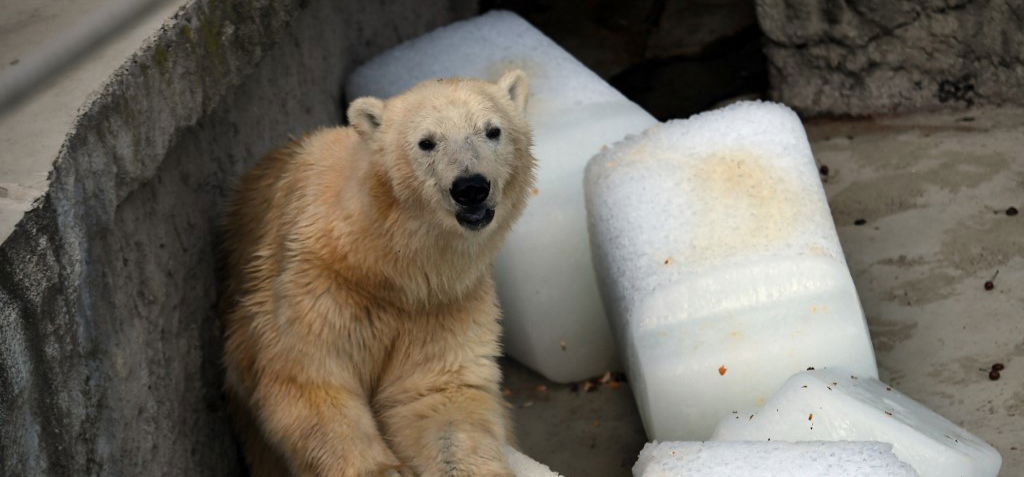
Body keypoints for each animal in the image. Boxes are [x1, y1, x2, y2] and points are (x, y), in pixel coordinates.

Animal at [222, 70, 536, 476]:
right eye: (426, 142)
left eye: (493, 130)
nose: (471, 188)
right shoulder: (315, 288)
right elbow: (311, 379)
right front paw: (383, 469)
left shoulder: (444, 303)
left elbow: (436, 397)